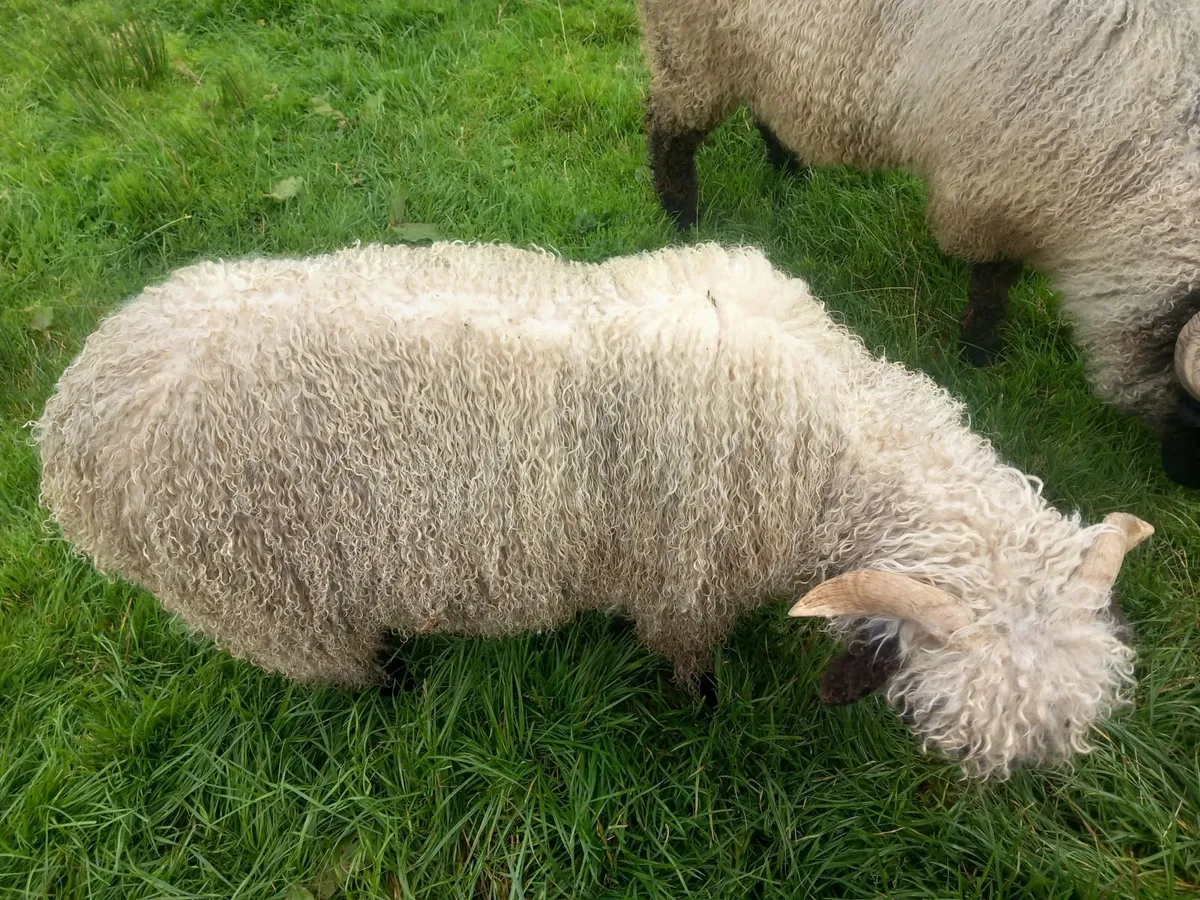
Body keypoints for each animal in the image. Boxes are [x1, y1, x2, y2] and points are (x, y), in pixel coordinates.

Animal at [35, 240, 1152, 778]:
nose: (1014, 786)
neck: (840, 443)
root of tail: (69, 424)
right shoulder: (690, 584)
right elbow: (690, 668)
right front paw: (705, 712)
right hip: (265, 601)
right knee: (342, 666)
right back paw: (396, 686)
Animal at [634, 0, 1200, 487]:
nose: (1183, 482)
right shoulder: (994, 182)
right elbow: (993, 276)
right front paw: (978, 352)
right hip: (691, 46)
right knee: (667, 129)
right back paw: (683, 220)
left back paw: (790, 169)